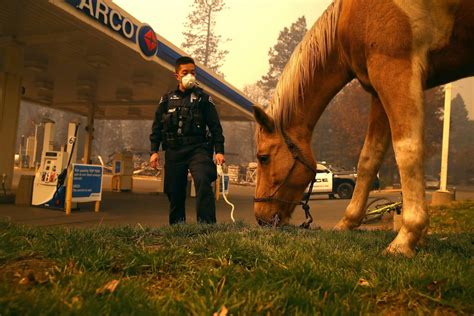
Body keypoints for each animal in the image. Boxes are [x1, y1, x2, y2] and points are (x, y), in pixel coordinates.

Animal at [254, 0, 472, 256]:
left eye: (263, 158)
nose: (260, 218)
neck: (348, 16)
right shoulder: (378, 91)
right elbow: (368, 159)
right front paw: (348, 222)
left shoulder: (393, 67)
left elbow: (407, 150)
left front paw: (406, 238)